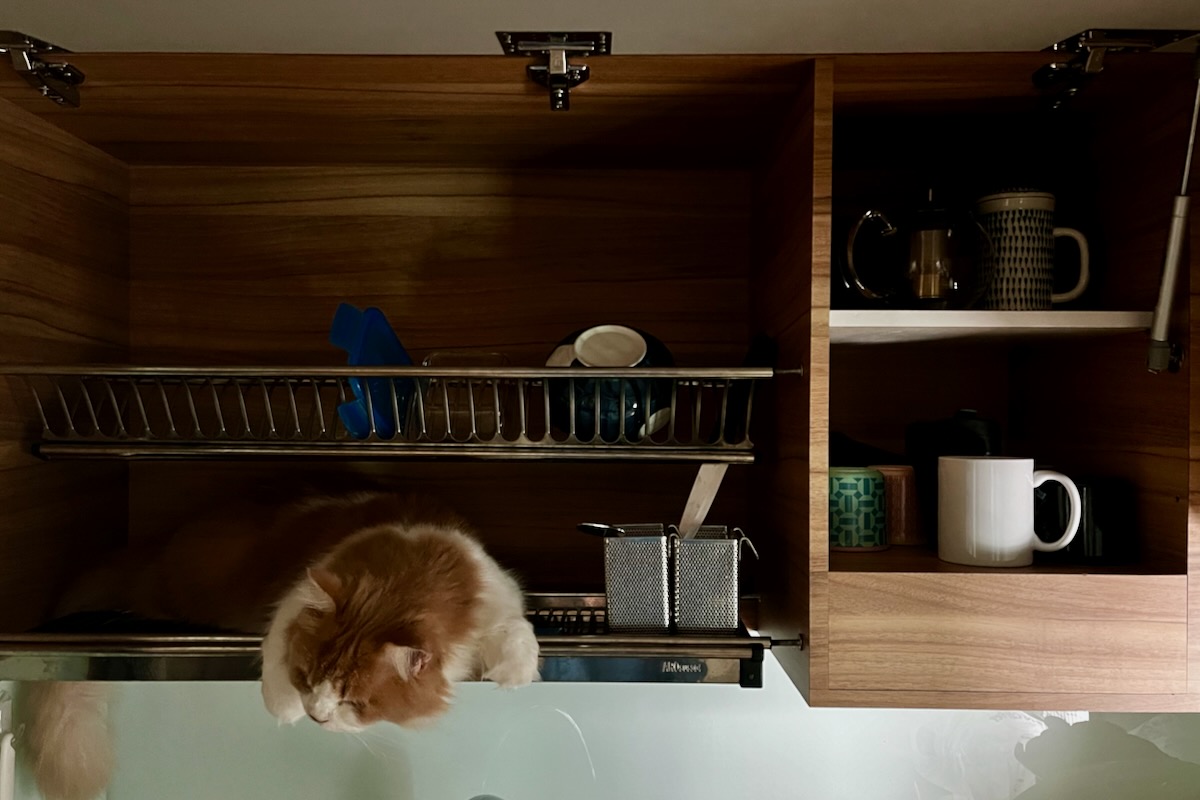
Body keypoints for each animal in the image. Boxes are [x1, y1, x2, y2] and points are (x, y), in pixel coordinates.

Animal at [22, 490, 540, 800]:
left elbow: (516, 631)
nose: (318, 716)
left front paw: (516, 673)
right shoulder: (290, 600)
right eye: (308, 679)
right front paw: (285, 707)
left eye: (355, 702)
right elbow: (275, 650)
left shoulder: (499, 596)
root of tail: (152, 553)